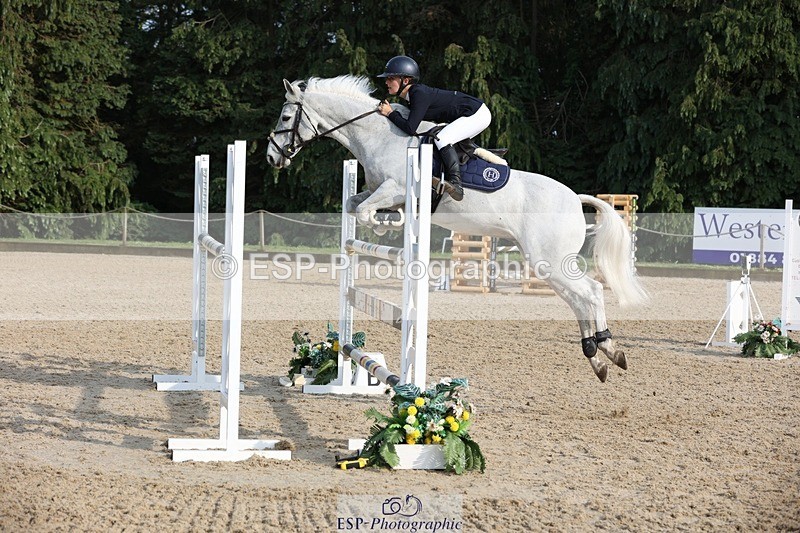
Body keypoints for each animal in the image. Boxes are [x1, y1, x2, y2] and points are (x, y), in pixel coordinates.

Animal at [266, 75, 648, 382]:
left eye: (285, 116)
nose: (272, 158)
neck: (377, 135)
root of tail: (574, 198)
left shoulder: (396, 188)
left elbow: (363, 211)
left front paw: (385, 225)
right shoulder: (378, 190)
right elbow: (353, 205)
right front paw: (386, 224)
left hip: (549, 260)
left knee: (591, 292)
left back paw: (609, 349)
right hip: (547, 264)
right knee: (578, 299)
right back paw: (597, 356)